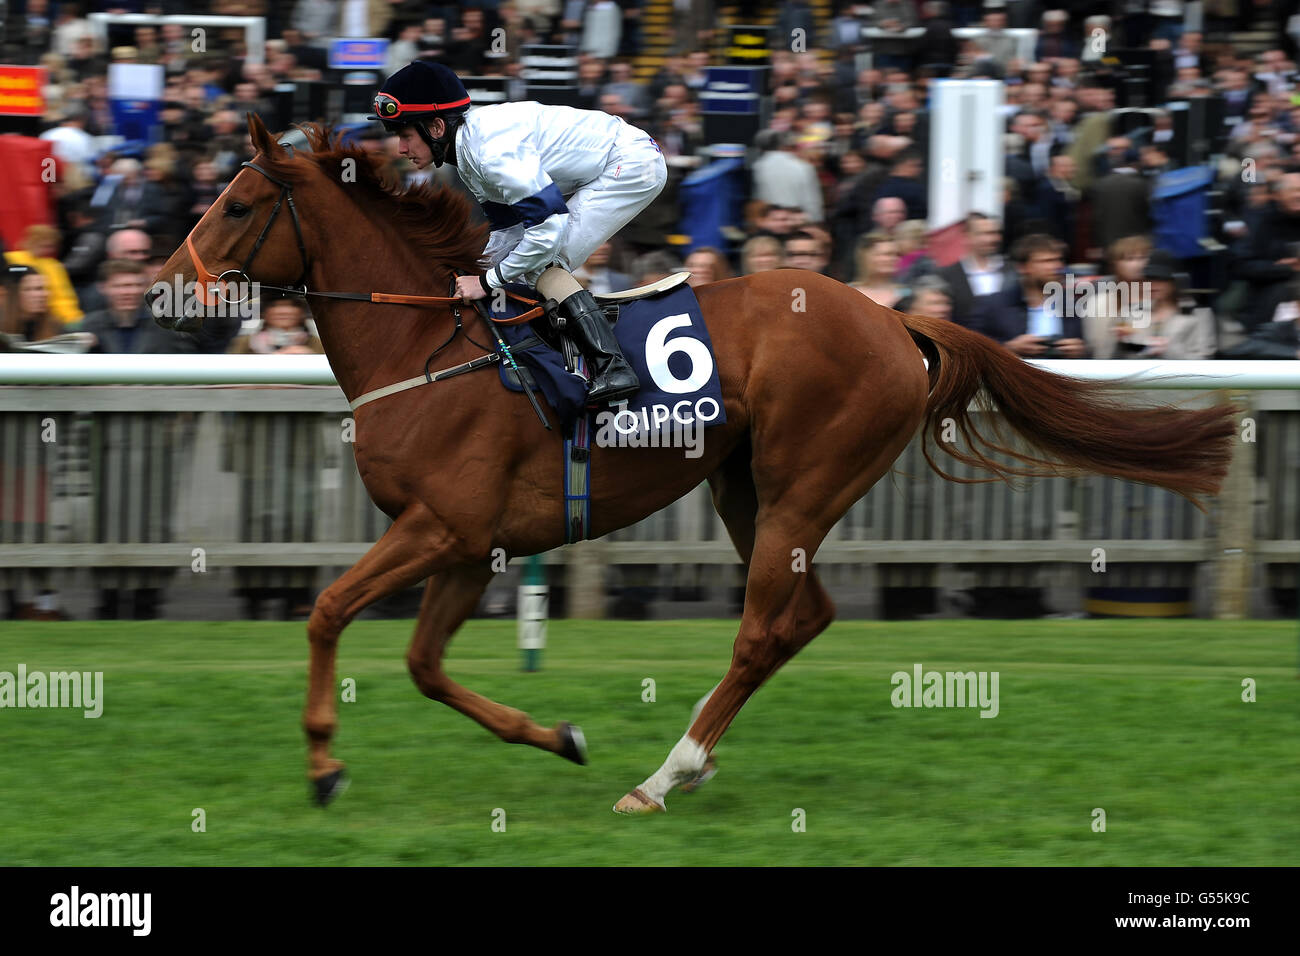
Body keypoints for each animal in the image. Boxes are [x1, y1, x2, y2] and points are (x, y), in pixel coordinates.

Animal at [157, 119, 1232, 816]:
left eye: (239, 203)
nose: (166, 288)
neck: (424, 349)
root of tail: (894, 320)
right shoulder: (469, 543)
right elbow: (425, 666)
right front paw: (559, 737)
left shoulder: (437, 526)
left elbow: (327, 611)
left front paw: (323, 767)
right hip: (744, 486)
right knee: (806, 615)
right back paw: (694, 761)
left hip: (804, 484)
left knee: (761, 631)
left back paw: (665, 775)